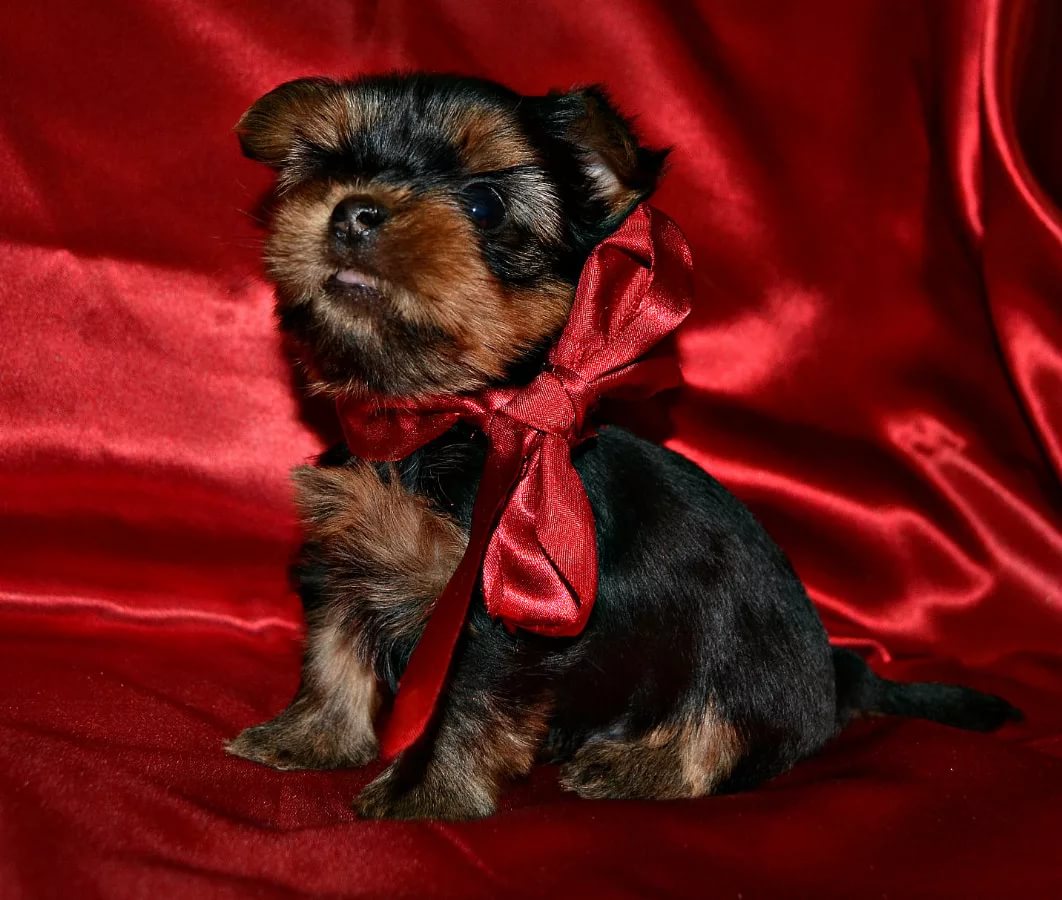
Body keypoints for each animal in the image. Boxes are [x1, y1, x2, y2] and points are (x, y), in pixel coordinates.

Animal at [226, 73, 1020, 820]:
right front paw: (309, 737)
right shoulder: (343, 557)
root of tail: (835, 670)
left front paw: (424, 791)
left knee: (727, 733)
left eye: (483, 205)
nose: (352, 210)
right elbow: (333, 654)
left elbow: (458, 703)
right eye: (330, 166)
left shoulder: (498, 609)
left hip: (748, 645)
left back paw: (637, 764)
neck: (448, 420)